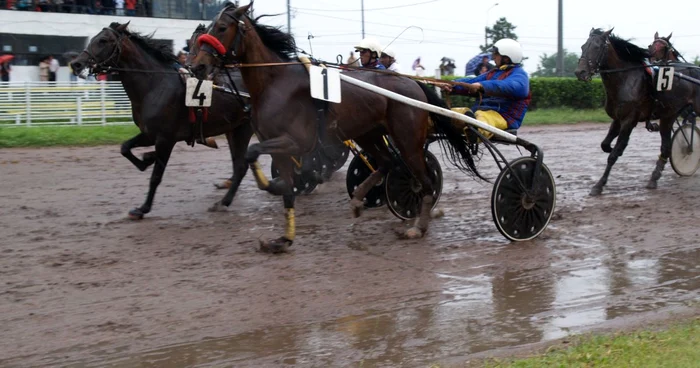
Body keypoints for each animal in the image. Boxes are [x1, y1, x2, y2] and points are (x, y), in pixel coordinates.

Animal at [70, 21, 254, 218]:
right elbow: (125, 148)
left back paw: (225, 201)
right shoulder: (150, 133)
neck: (155, 85)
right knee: (238, 163)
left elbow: (156, 176)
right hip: (234, 129)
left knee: (241, 166)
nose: (76, 64)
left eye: (103, 40)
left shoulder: (166, 139)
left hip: (244, 129)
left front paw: (143, 208)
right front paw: (147, 159)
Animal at [187, 2, 482, 253]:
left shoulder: (295, 140)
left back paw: (418, 226)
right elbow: (285, 190)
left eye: (221, 28)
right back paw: (358, 201)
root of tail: (414, 83)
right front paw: (283, 238)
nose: (198, 66)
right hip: (368, 133)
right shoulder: (279, 144)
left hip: (407, 140)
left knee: (424, 180)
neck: (275, 82)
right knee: (386, 163)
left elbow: (252, 154)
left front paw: (271, 186)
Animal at [576, 28, 700, 196]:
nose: (580, 72)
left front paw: (599, 185)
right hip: (669, 115)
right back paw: (654, 178)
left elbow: (613, 155)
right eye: (583, 47)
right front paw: (611, 148)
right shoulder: (617, 119)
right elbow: (605, 145)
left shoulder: (629, 120)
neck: (625, 79)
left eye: (596, 47)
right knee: (666, 147)